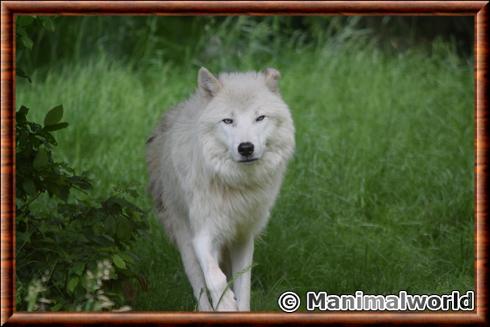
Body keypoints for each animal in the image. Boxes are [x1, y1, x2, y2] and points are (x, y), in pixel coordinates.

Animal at [145, 67, 294, 312]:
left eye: (260, 117)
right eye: (228, 120)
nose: (246, 148)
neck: (236, 185)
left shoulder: (243, 237)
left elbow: (243, 287)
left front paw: (238, 308)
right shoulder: (203, 235)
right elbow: (214, 278)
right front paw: (225, 305)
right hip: (185, 242)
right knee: (199, 287)